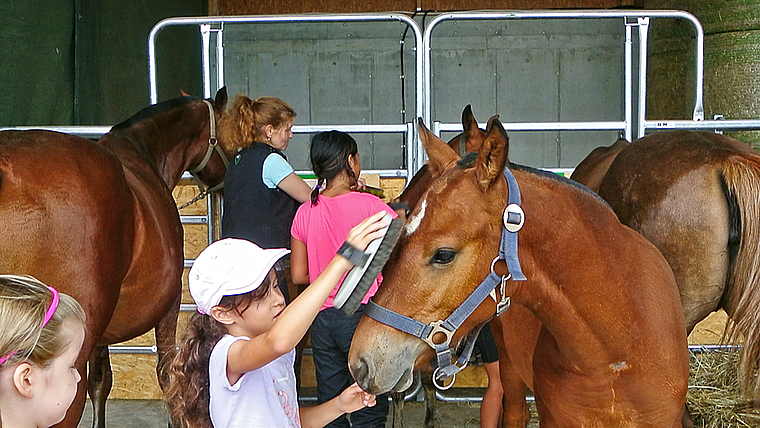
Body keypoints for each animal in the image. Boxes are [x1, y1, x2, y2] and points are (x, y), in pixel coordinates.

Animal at [0, 88, 232, 426]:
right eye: (228, 135)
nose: (227, 178)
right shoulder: (170, 303)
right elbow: (167, 374)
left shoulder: (101, 333)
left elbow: (101, 382)